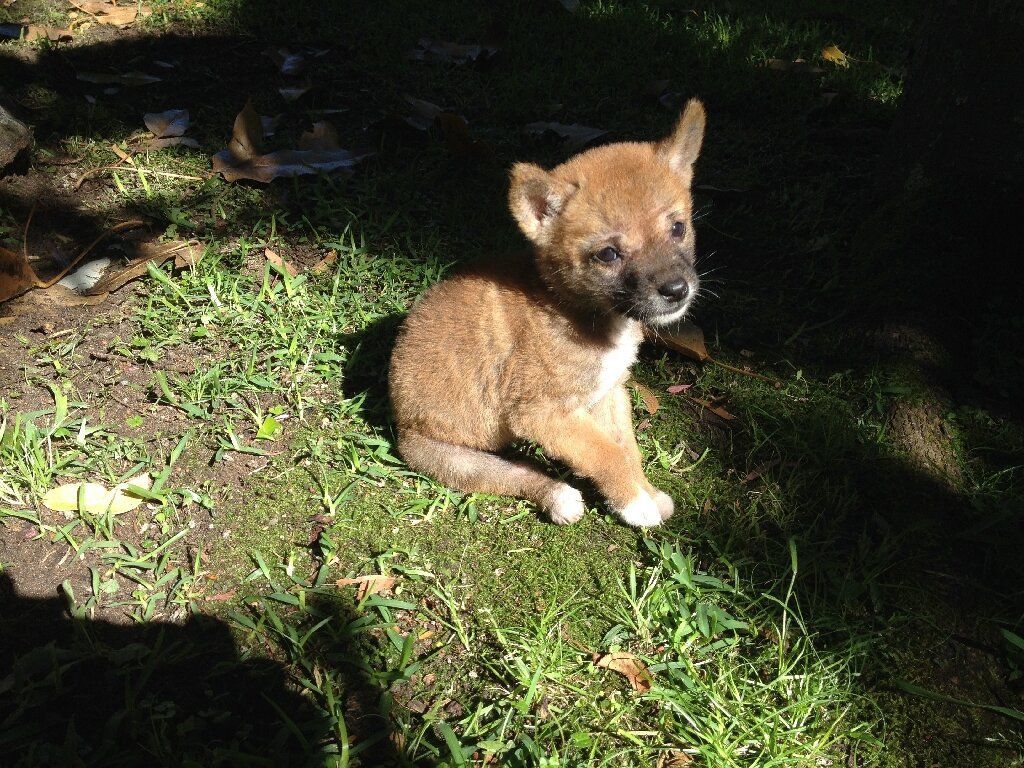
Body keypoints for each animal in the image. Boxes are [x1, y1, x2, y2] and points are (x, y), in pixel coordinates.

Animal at [387, 99, 708, 528]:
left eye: (677, 228)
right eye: (608, 254)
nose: (676, 290)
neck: (579, 311)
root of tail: (397, 408)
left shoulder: (608, 393)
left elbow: (627, 448)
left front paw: (645, 492)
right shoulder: (544, 414)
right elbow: (606, 455)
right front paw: (635, 504)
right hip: (449, 457)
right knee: (512, 473)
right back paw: (557, 496)